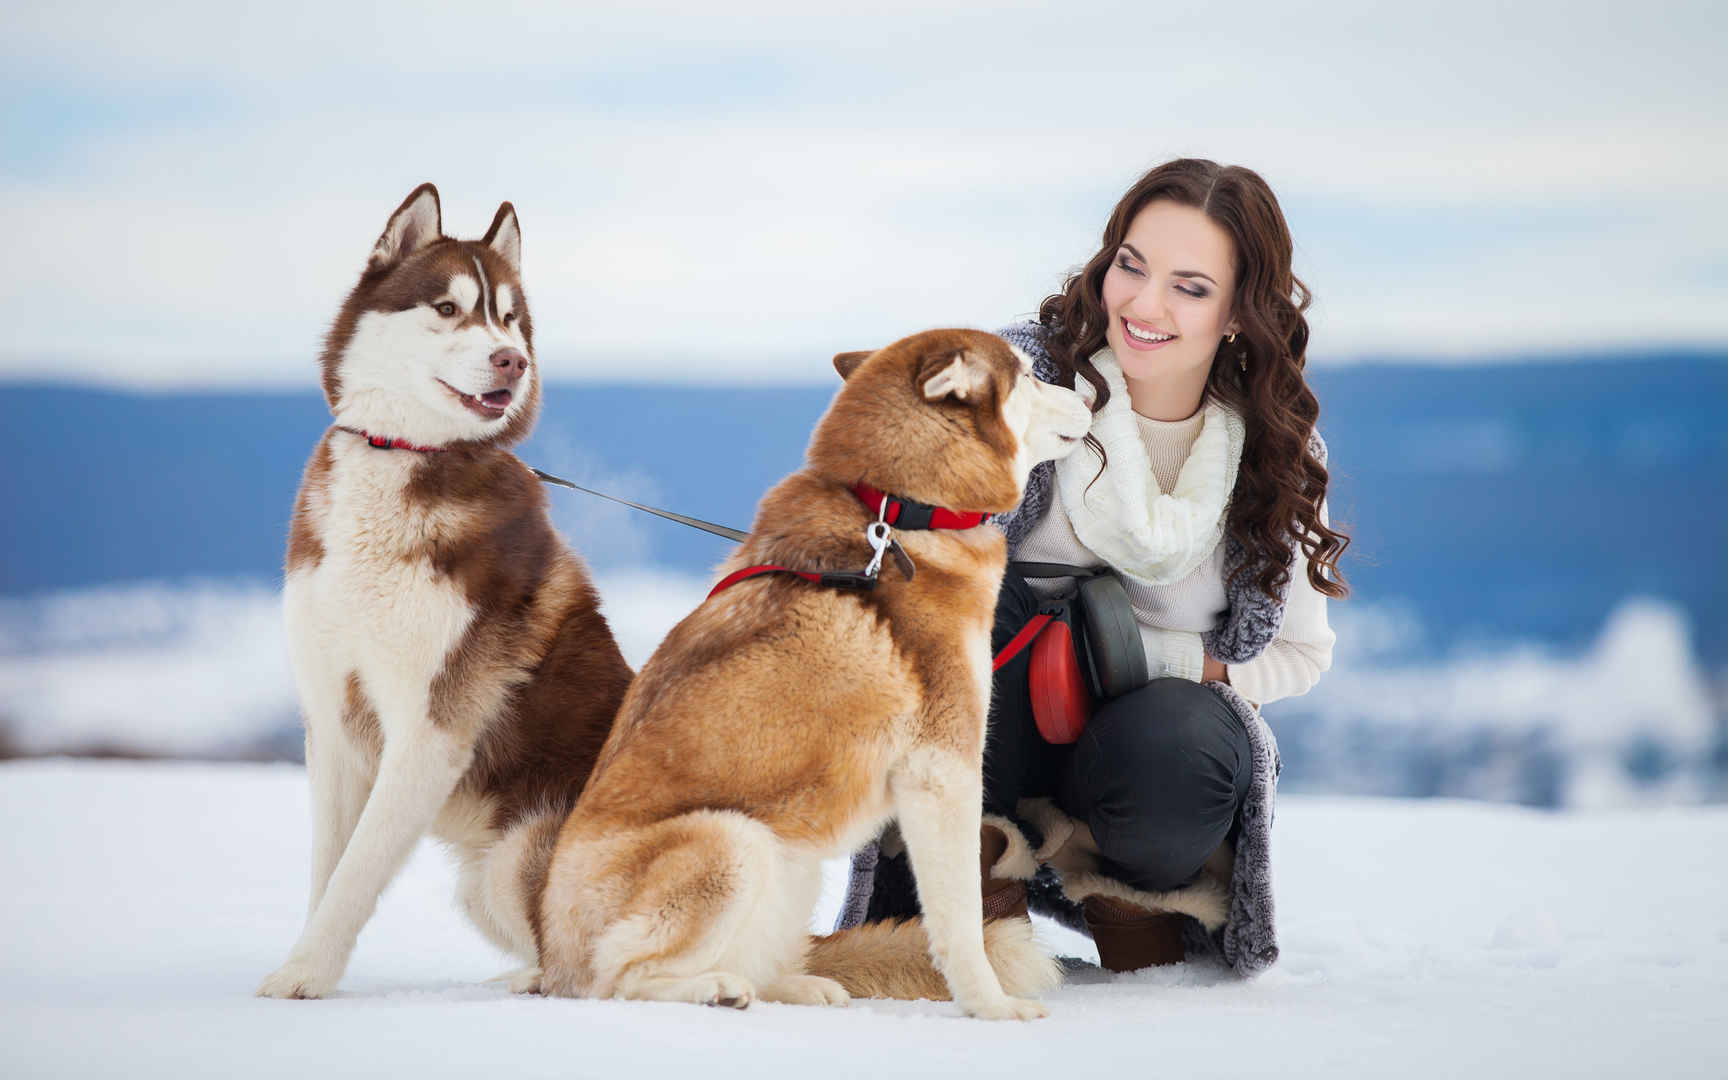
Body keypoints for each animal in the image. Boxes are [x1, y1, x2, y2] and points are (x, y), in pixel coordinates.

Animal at [255, 183, 635, 995]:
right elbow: (328, 868)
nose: (511, 360)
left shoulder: (430, 726)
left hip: (518, 854)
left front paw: (303, 973)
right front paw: (307, 968)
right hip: (483, 882)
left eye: (510, 318)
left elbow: (357, 871)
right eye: (448, 307)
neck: (404, 454)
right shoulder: (331, 719)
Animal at [532, 328, 1085, 1016]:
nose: (1091, 395)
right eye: (1033, 374)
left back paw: (793, 984)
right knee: (619, 979)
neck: (904, 514)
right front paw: (991, 1006)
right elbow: (960, 920)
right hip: (731, 841)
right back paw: (714, 989)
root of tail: (549, 963)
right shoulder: (943, 769)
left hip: (791, 859)